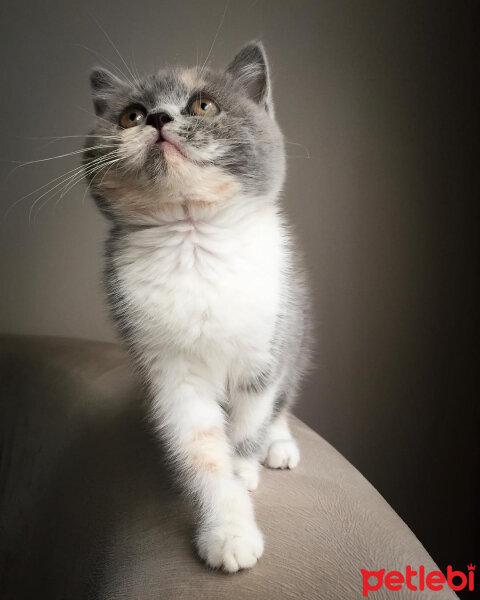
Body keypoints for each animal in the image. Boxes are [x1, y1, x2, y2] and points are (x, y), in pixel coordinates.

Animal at [83, 42, 312, 572]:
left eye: (203, 106)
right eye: (130, 115)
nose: (158, 119)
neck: (192, 238)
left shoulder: (265, 352)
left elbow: (250, 423)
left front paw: (246, 468)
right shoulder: (170, 372)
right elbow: (202, 448)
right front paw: (228, 530)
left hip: (296, 331)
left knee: (284, 400)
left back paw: (280, 446)